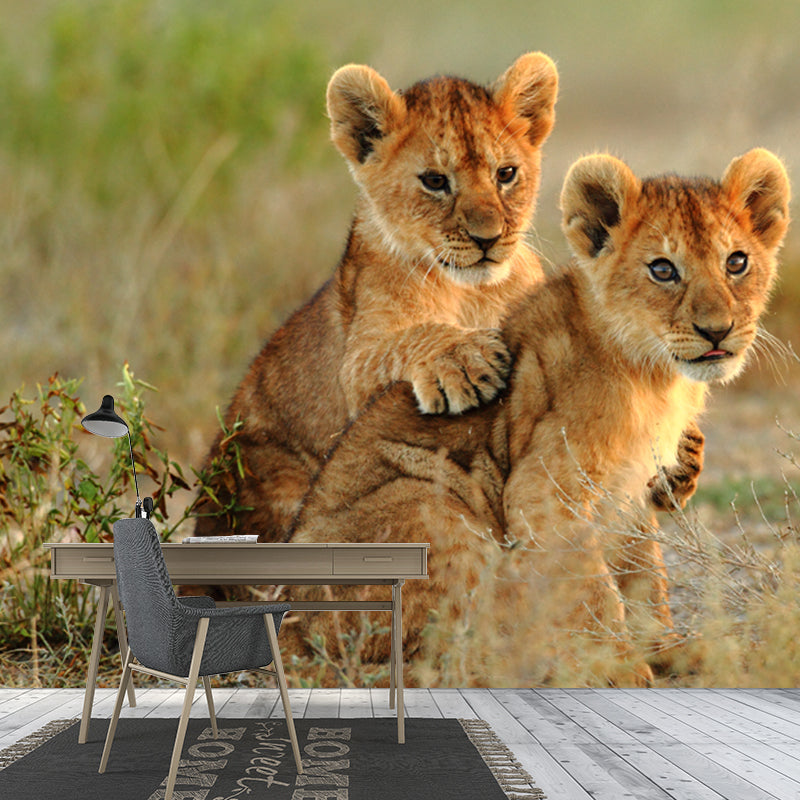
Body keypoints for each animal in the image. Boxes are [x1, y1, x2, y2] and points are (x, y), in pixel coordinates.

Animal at [192, 53, 559, 541]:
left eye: (506, 174)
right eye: (435, 181)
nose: (489, 238)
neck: (472, 292)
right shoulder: (356, 364)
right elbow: (405, 341)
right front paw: (464, 359)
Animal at [285, 148, 791, 687]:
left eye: (736, 262)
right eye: (662, 269)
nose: (718, 331)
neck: (656, 377)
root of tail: (290, 622)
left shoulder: (629, 491)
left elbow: (643, 576)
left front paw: (667, 648)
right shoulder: (545, 490)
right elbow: (591, 586)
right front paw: (617, 665)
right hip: (431, 501)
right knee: (425, 659)